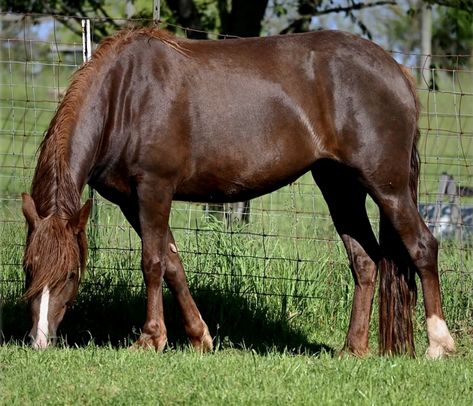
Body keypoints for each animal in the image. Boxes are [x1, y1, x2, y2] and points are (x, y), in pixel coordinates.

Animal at [21, 27, 454, 356]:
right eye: (28, 268)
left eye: (71, 274)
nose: (39, 341)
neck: (124, 95)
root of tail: (396, 69)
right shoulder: (133, 200)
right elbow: (173, 263)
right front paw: (200, 337)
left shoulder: (154, 190)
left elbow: (153, 262)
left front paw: (151, 338)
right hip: (338, 185)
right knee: (365, 260)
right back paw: (354, 348)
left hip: (387, 186)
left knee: (422, 246)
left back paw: (439, 344)